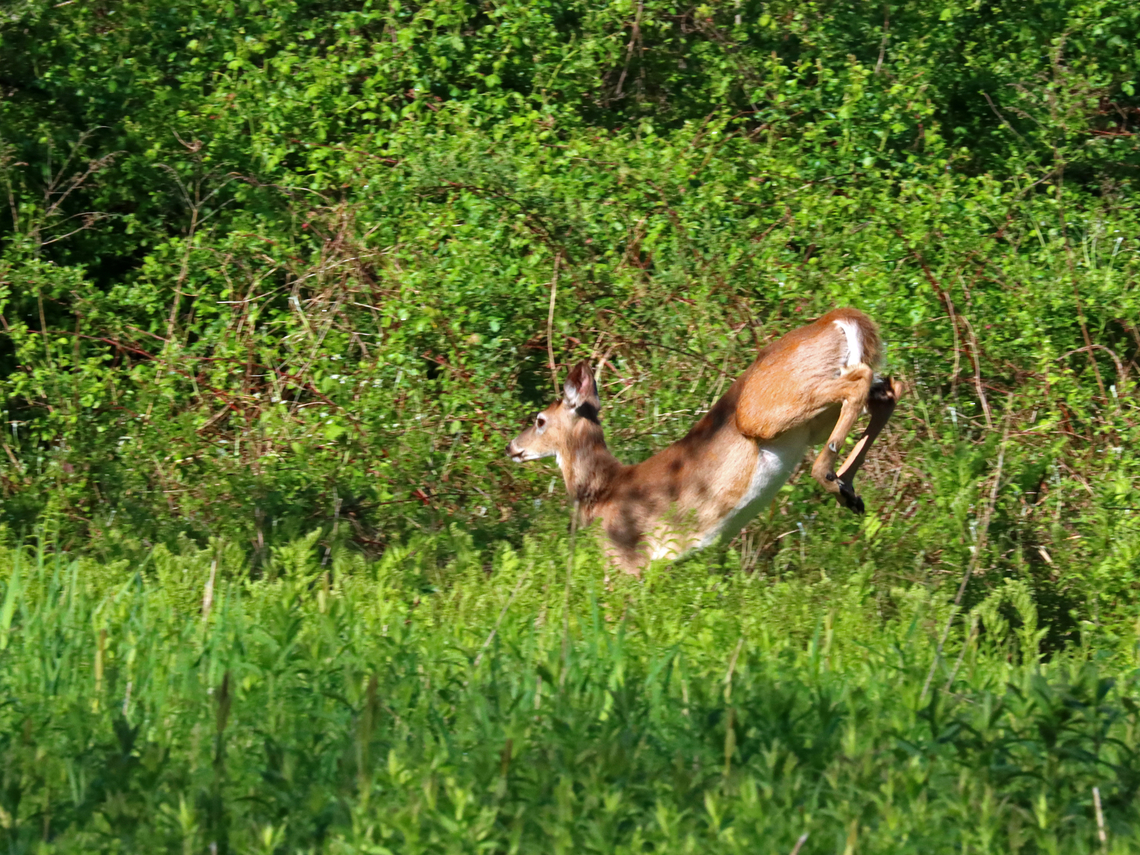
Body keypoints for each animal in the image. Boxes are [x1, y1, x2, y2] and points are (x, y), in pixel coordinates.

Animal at [506, 308, 905, 576]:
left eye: (539, 420)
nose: (512, 447)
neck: (603, 489)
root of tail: (836, 318)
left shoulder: (626, 558)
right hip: (812, 419)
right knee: (889, 388)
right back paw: (848, 489)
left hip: (765, 409)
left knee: (862, 382)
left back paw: (829, 476)